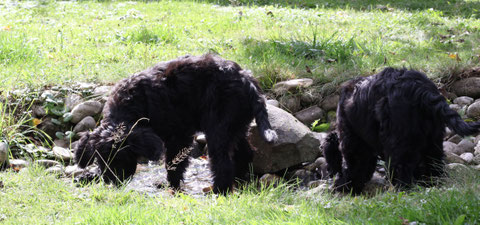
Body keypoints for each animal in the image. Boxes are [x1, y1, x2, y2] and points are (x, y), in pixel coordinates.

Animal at [74, 54, 278, 193]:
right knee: (244, 153)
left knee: (223, 162)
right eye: (101, 160)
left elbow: (174, 163)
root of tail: (247, 79)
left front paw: (172, 185)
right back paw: (240, 181)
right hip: (235, 126)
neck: (131, 103)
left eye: (120, 158)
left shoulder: (178, 135)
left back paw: (219, 190)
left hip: (218, 129)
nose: (113, 182)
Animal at [322, 67, 480, 194]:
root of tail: (421, 89)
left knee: (401, 168)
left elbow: (354, 165)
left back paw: (403, 191)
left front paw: (345, 185)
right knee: (434, 163)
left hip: (397, 141)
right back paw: (431, 185)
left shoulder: (353, 141)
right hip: (433, 139)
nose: (329, 173)